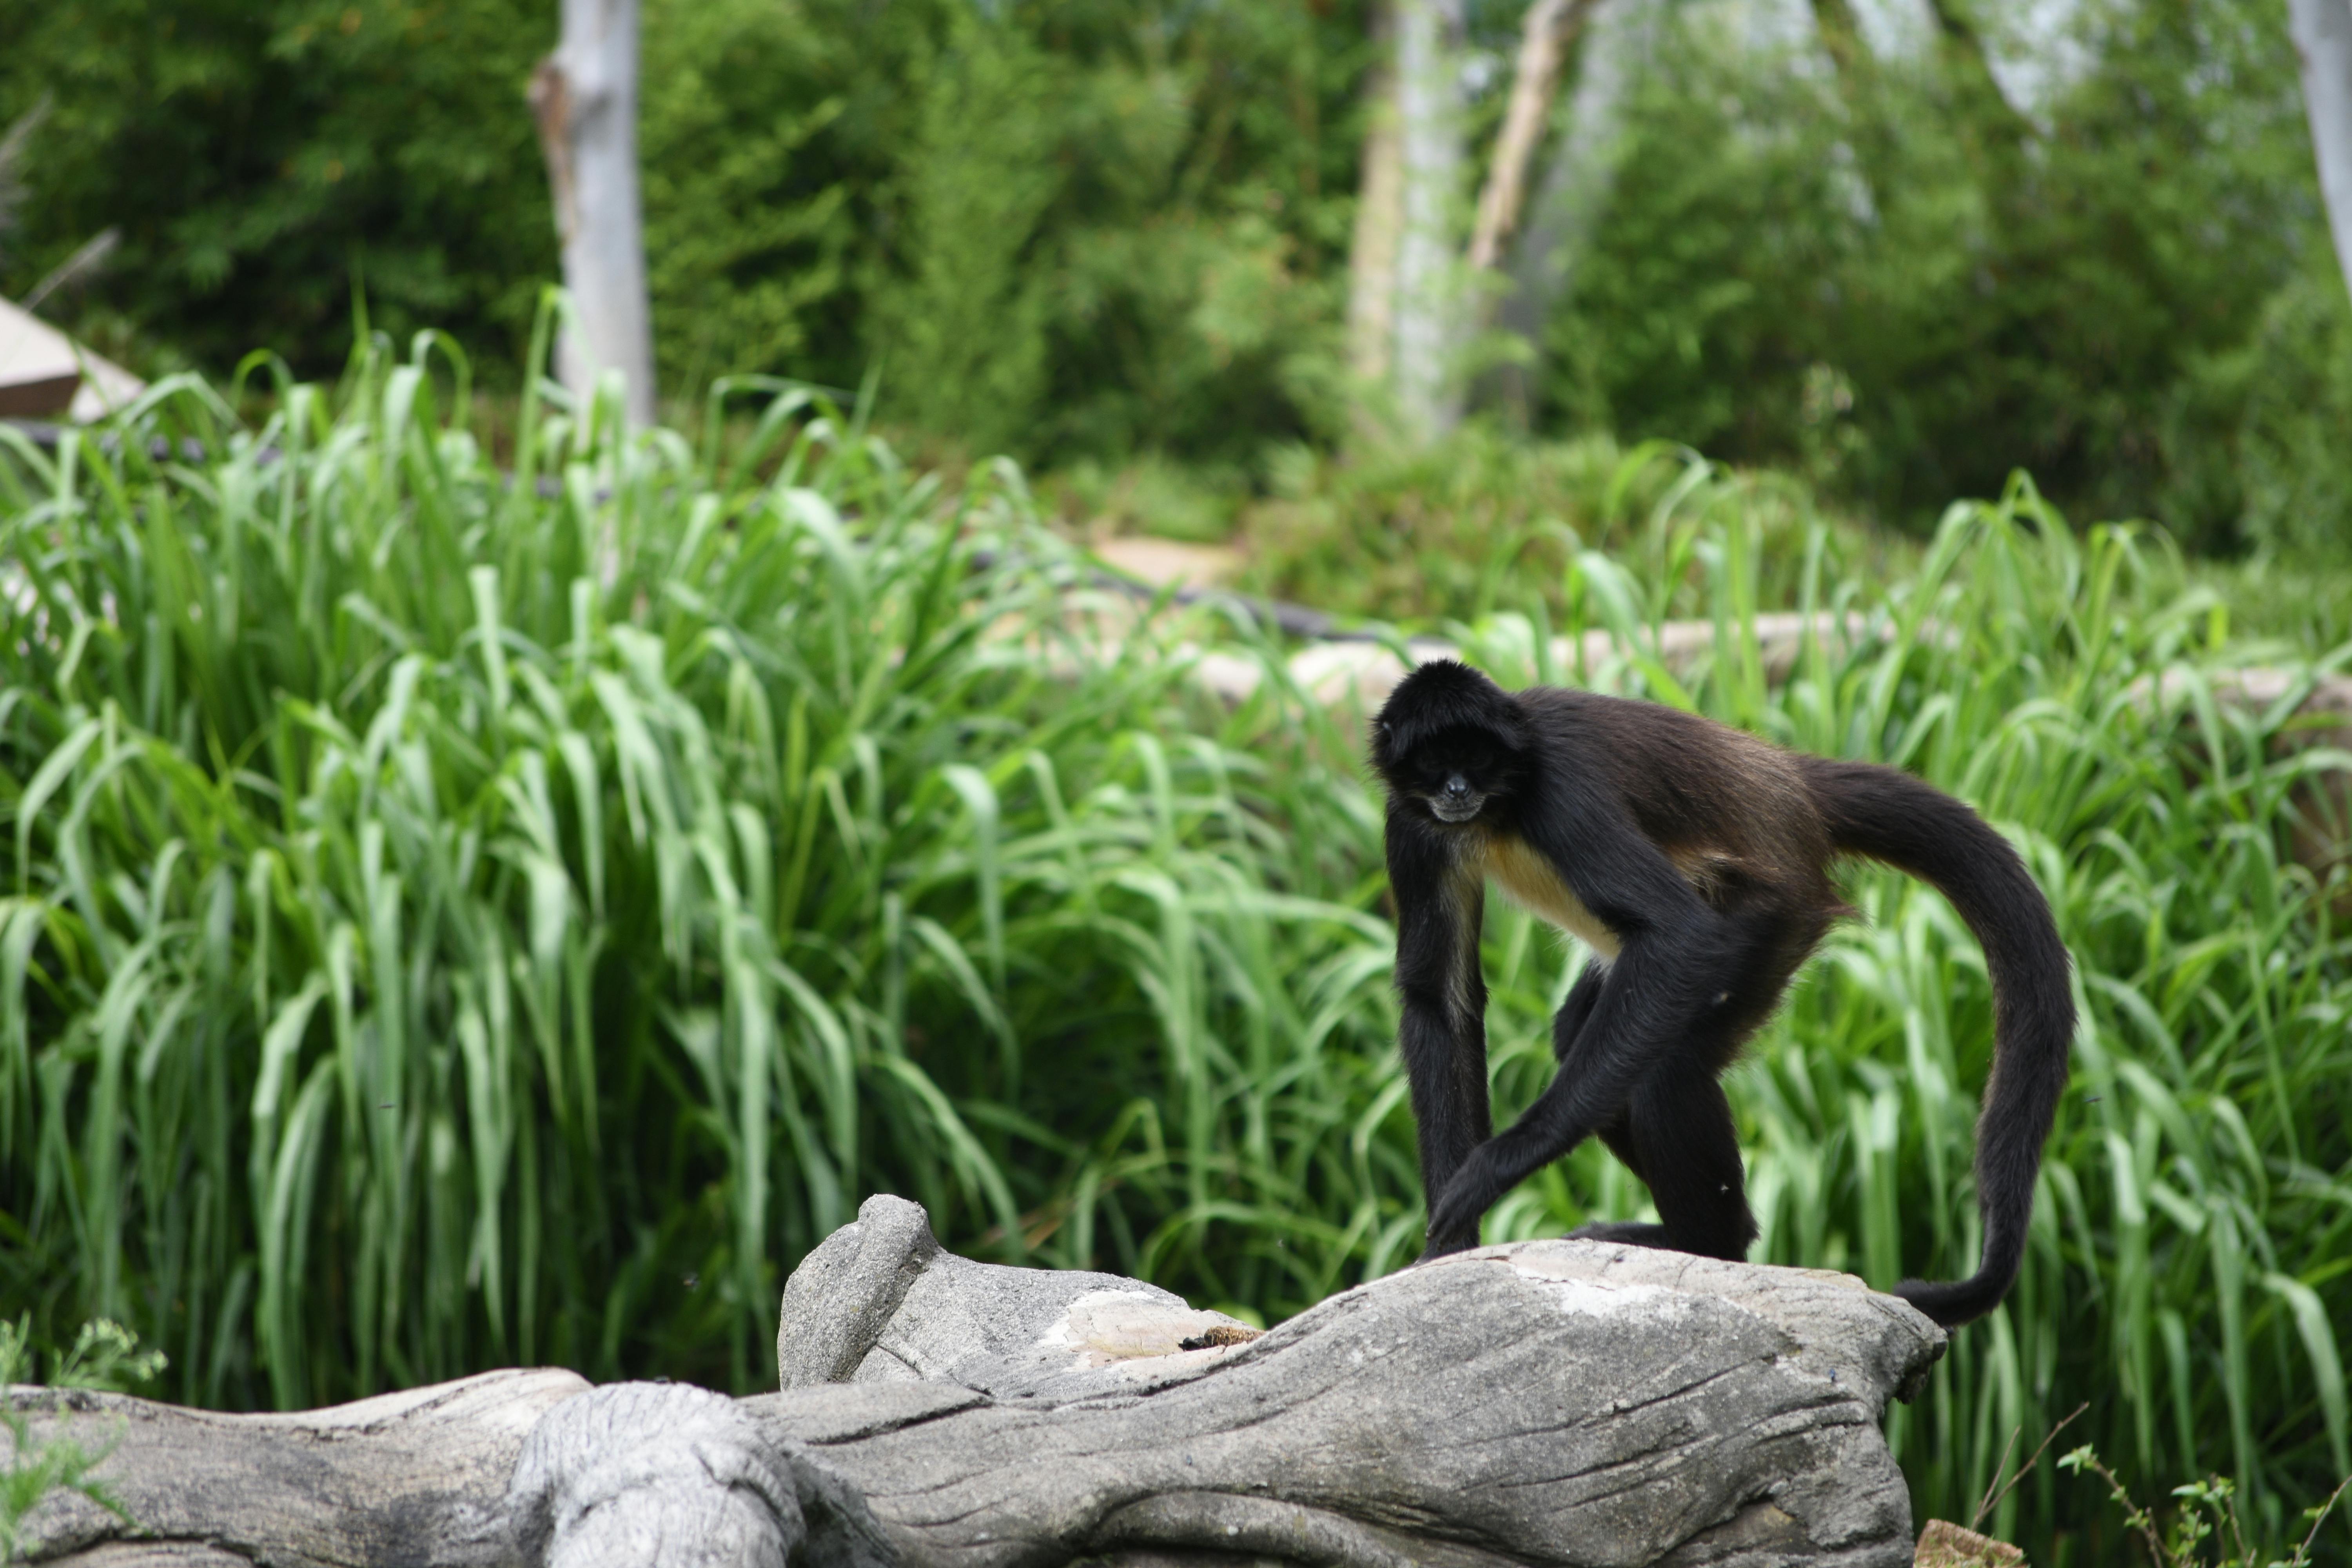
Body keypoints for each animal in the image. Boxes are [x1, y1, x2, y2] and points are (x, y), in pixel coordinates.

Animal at [1374, 658, 2079, 1335]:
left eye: (1476, 757)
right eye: (1435, 763)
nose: (1457, 791)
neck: (1504, 803)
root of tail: (1788, 785)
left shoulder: (1562, 793)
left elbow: (1677, 933)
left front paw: (1499, 1165)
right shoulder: (1411, 824)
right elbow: (1438, 998)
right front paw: (1450, 1248)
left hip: (1772, 916)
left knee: (1668, 1068)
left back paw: (1711, 1247)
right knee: (1585, 1038)